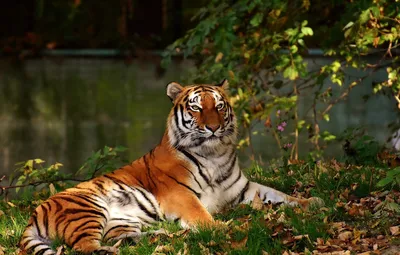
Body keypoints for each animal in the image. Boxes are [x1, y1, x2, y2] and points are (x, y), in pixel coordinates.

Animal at [19, 78, 322, 254]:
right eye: (197, 108)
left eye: (219, 106)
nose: (213, 128)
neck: (215, 154)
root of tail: (35, 213)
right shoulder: (180, 194)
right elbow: (201, 215)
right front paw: (222, 227)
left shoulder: (243, 189)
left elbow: (279, 194)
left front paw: (312, 202)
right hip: (87, 209)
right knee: (83, 246)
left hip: (122, 220)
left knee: (122, 237)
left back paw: (164, 235)